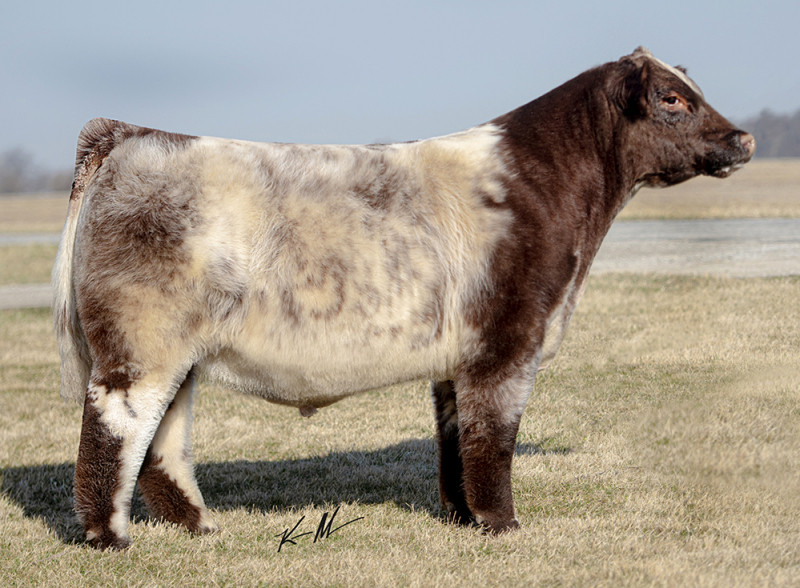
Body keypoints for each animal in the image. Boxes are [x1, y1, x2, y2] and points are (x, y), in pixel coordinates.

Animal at [52, 47, 755, 549]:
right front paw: (504, 525)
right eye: (671, 98)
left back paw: (198, 527)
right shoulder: (507, 341)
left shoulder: (458, 357)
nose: (743, 139)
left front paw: (465, 518)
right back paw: (108, 537)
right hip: (140, 344)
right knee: (114, 428)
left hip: (178, 353)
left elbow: (456, 441)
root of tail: (133, 134)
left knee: (161, 439)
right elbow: (492, 439)